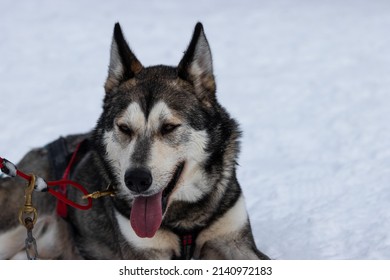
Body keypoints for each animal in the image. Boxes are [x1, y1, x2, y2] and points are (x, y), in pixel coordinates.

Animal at [0, 22, 268, 260]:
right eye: (125, 128)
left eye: (169, 127)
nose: (136, 180)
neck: (184, 218)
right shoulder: (143, 253)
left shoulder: (236, 241)